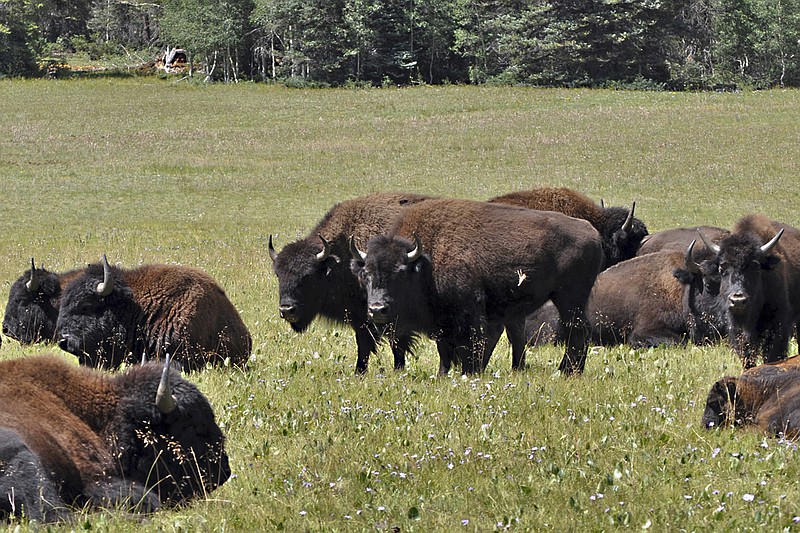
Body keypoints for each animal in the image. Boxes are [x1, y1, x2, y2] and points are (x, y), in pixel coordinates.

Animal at [268, 192, 432, 374]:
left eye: (308, 275)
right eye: (278, 274)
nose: (287, 310)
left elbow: (390, 344)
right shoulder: (360, 317)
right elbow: (365, 344)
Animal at [354, 198, 604, 374]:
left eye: (399, 273)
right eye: (365, 274)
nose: (377, 309)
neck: (424, 261)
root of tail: (591, 232)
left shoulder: (469, 311)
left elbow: (470, 344)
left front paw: (470, 372)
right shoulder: (442, 320)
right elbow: (444, 349)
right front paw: (443, 374)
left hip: (569, 298)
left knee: (577, 330)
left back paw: (567, 371)